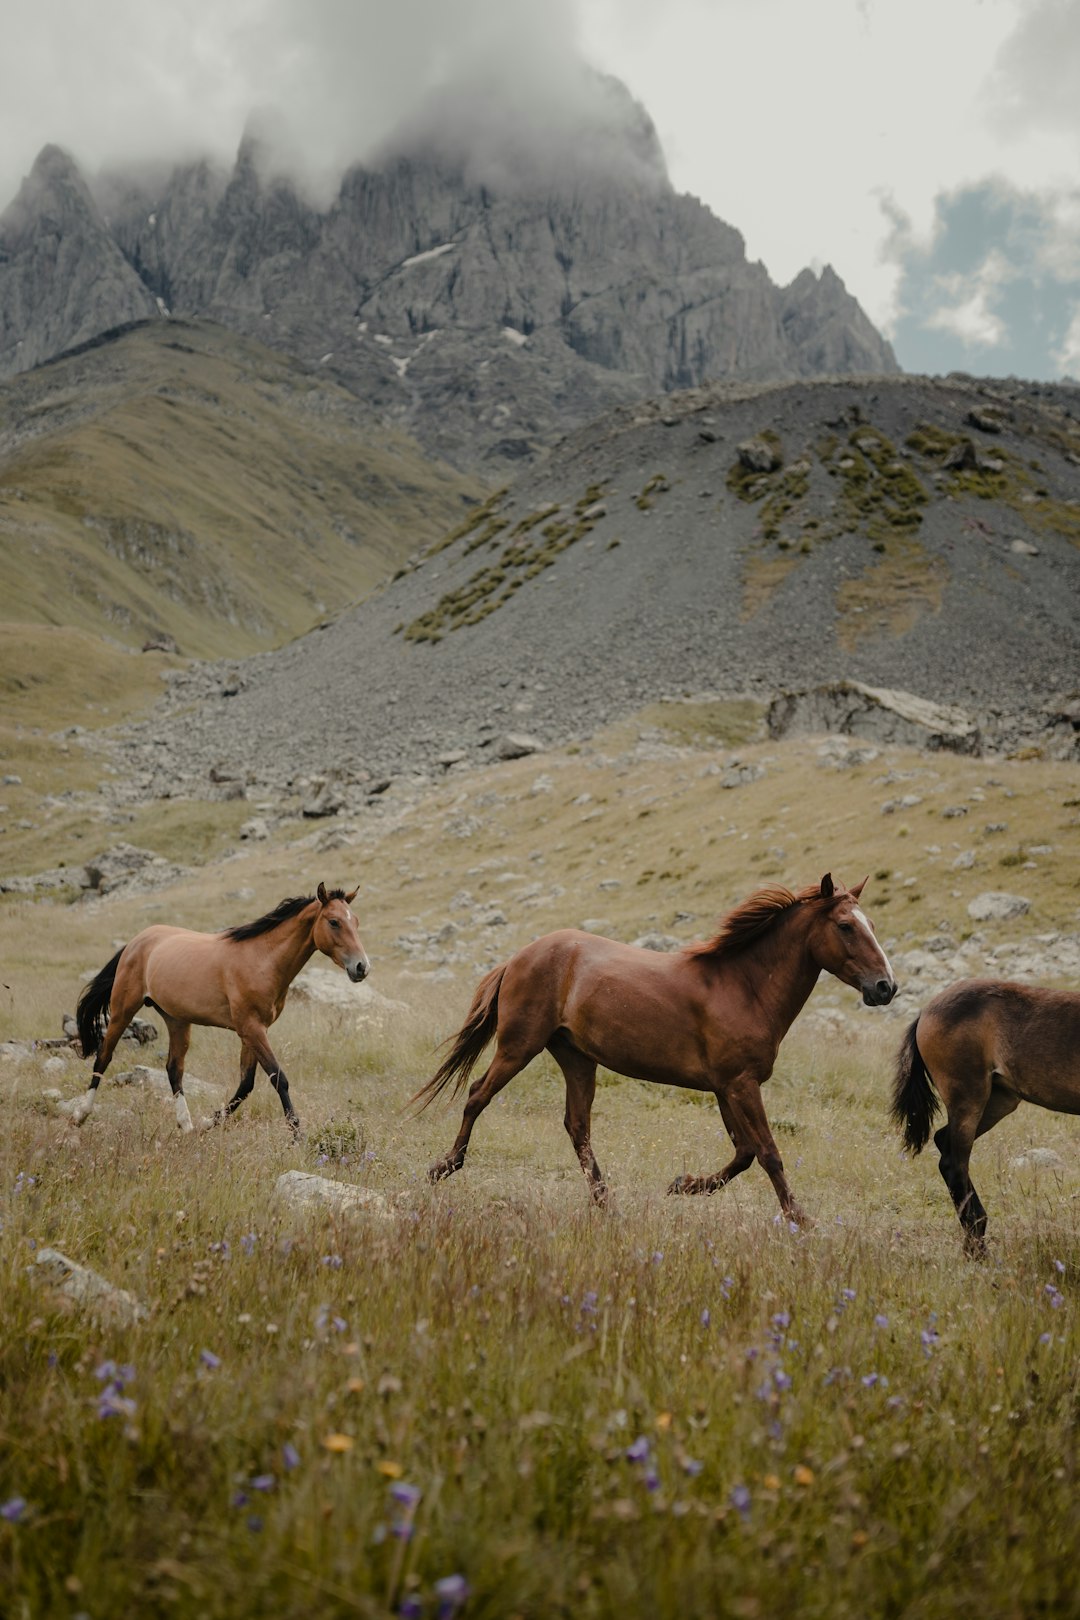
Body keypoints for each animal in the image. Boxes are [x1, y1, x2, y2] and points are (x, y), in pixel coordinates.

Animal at [74, 881, 372, 1134]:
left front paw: (208, 1122)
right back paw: (80, 1115)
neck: (262, 959)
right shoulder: (251, 1029)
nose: (362, 967)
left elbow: (246, 1084)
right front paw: (298, 1135)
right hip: (123, 1010)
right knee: (104, 1056)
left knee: (174, 1068)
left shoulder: (254, 1031)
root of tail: (137, 941)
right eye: (334, 922)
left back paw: (187, 1126)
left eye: (356, 921)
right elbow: (278, 1078)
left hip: (176, 1020)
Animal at [414, 874, 893, 1218]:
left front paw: (683, 1185)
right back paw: (442, 1168)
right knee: (478, 1096)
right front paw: (799, 1220)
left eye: (872, 926)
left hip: (576, 1058)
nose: (885, 987)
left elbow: (744, 1153)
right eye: (846, 927)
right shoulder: (741, 1085)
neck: (744, 988)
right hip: (519, 1046)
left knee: (577, 1126)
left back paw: (605, 1201)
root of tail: (519, 956)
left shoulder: (726, 1087)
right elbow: (769, 1153)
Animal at [893, 972, 1080, 1250]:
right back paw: (976, 1243)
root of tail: (925, 1011)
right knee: (953, 1162)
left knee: (943, 1143)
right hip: (968, 1099)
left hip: (998, 1102)